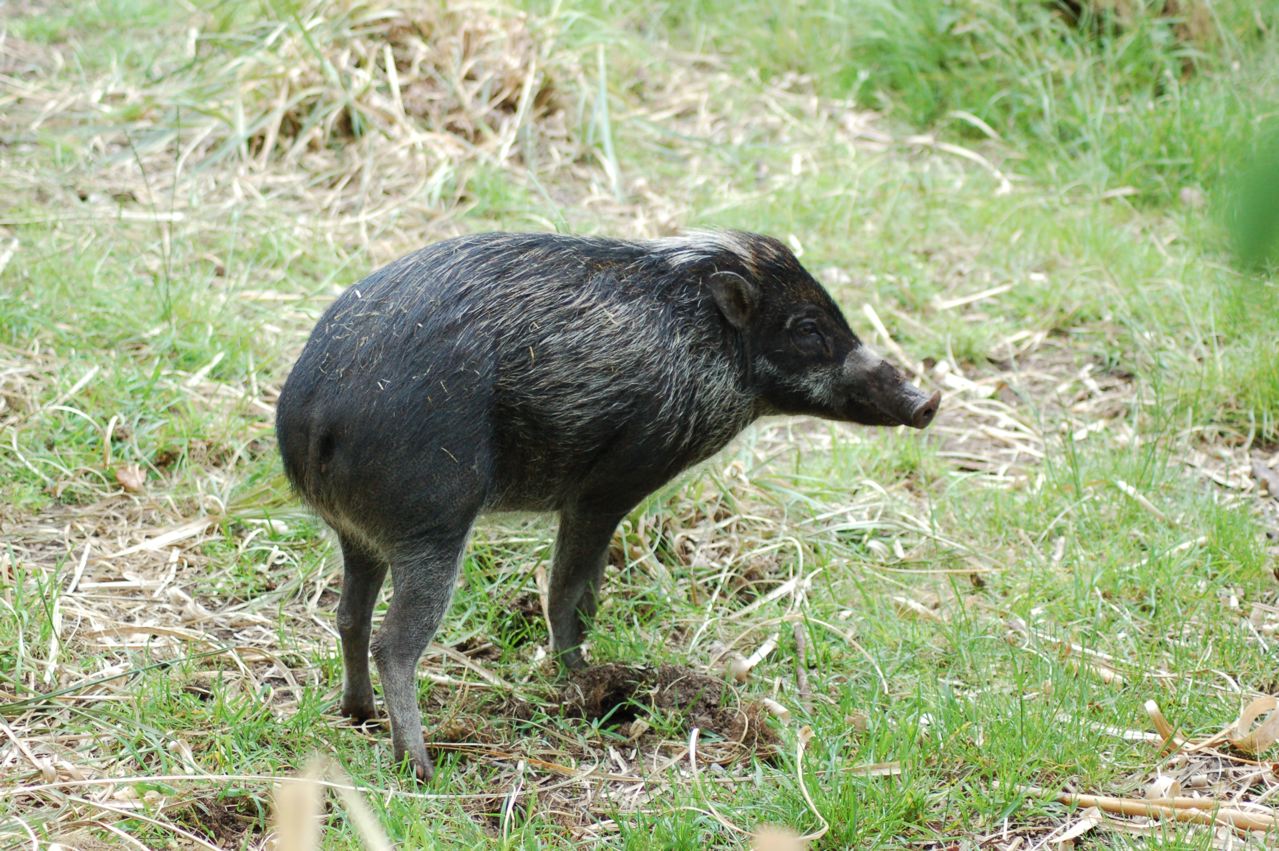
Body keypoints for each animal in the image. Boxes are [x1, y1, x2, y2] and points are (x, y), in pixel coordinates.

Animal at [275, 230, 939, 780]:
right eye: (807, 328)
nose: (928, 401)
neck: (705, 352)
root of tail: (312, 417)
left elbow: (584, 591)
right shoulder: (608, 487)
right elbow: (569, 592)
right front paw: (582, 682)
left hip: (358, 534)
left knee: (348, 616)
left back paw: (357, 714)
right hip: (433, 527)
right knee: (394, 641)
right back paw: (420, 766)